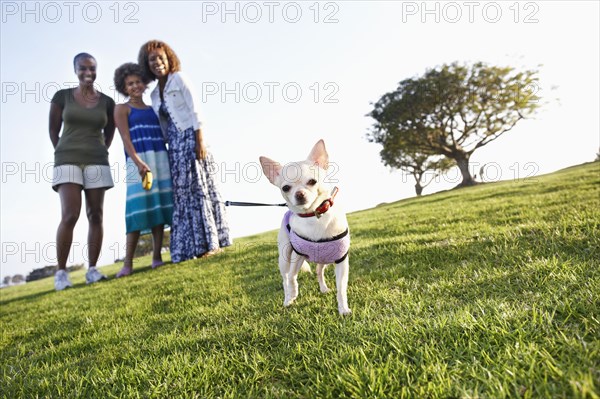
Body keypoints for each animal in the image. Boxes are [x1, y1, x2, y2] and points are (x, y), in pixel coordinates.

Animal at [258, 141, 352, 316]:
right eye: (286, 188)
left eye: (312, 182)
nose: (300, 194)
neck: (313, 216)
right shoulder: (298, 255)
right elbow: (291, 278)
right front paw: (293, 295)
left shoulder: (341, 260)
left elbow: (341, 288)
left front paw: (343, 309)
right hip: (284, 257)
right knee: (285, 277)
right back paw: (287, 298)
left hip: (324, 259)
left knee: (319, 272)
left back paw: (323, 288)